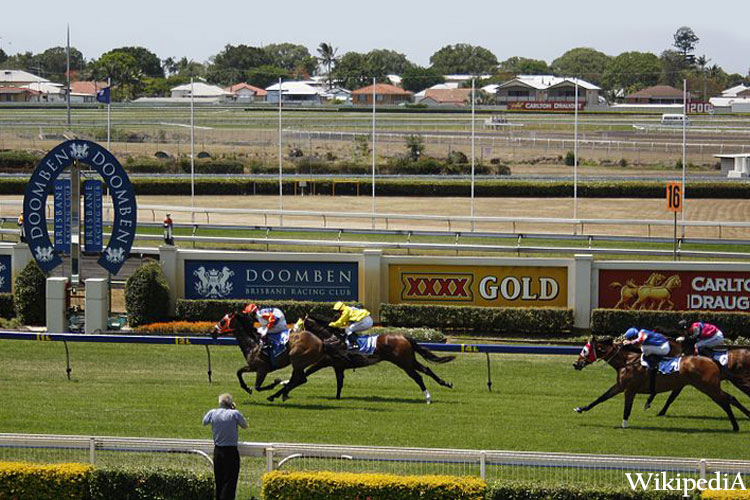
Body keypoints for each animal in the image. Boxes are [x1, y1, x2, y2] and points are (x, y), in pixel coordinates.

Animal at [212, 308, 340, 402]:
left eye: (222, 321)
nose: (213, 332)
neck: (253, 343)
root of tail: (321, 342)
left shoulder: (262, 369)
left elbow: (258, 387)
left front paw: (275, 382)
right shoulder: (253, 366)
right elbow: (239, 372)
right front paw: (247, 388)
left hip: (297, 359)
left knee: (300, 379)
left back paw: (275, 395)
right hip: (299, 363)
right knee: (297, 380)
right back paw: (280, 394)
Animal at [302, 314, 458, 404]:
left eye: (302, 325)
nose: (298, 336)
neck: (331, 337)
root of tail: (403, 336)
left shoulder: (324, 362)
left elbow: (307, 371)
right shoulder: (338, 366)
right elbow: (339, 384)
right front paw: (337, 398)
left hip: (404, 363)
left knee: (418, 377)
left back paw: (427, 397)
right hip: (409, 360)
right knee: (427, 369)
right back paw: (446, 384)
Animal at [572, 336, 748, 430]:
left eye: (585, 350)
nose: (576, 364)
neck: (627, 362)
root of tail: (712, 361)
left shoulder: (630, 389)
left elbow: (627, 408)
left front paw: (624, 425)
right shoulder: (620, 386)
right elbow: (601, 398)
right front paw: (581, 408)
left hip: (708, 387)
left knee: (725, 401)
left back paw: (735, 426)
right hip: (709, 386)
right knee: (730, 398)